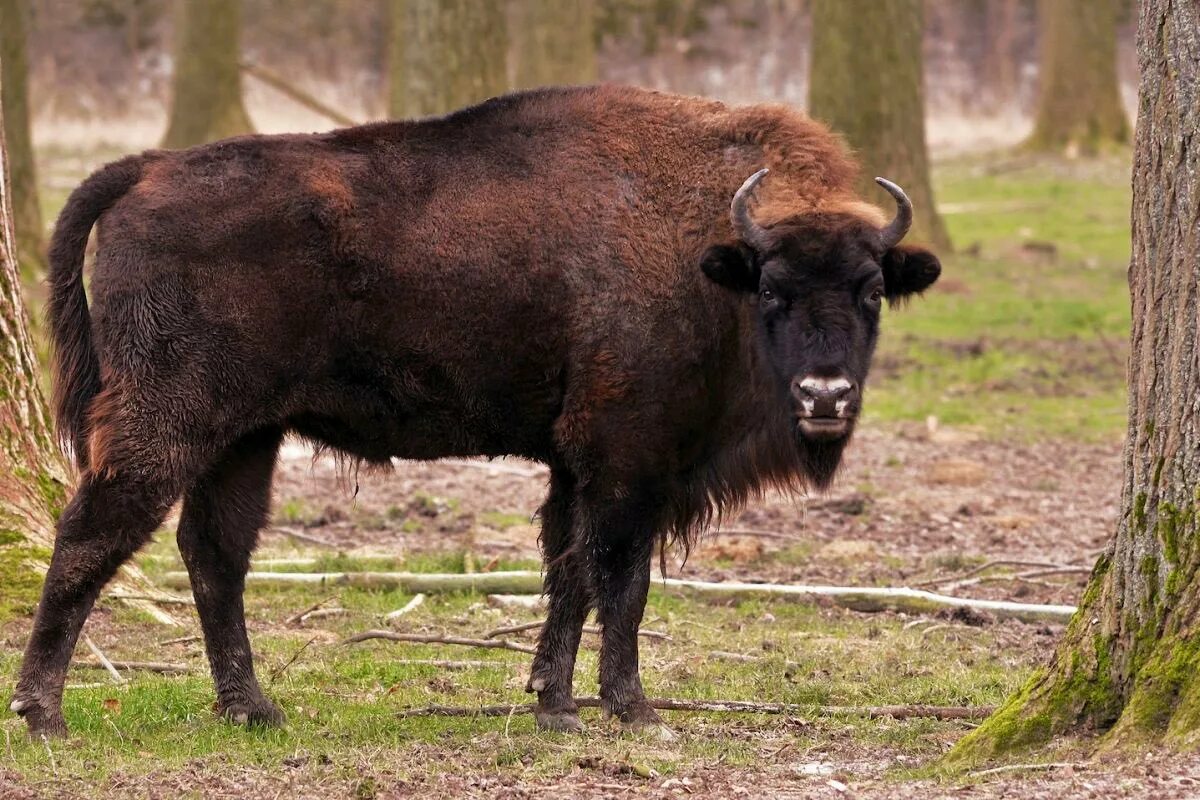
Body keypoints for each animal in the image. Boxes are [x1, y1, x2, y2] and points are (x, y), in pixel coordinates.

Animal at [11, 84, 940, 737]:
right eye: (774, 290)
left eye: (871, 291)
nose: (825, 395)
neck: (712, 256)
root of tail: (149, 168)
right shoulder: (625, 460)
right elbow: (621, 580)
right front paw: (633, 709)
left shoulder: (575, 465)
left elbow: (569, 574)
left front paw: (553, 705)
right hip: (167, 422)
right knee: (92, 533)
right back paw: (42, 711)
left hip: (246, 438)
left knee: (214, 555)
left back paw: (254, 708)